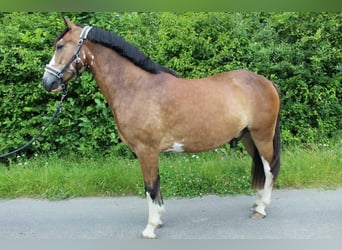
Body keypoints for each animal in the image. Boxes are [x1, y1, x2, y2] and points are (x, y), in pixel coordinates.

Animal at [41, 16, 280, 239]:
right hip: (248, 137)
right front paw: (160, 218)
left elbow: (150, 187)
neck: (135, 87)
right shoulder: (150, 152)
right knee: (260, 166)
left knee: (269, 167)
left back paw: (261, 208)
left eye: (60, 46)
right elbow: (156, 185)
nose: (47, 82)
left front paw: (151, 227)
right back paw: (256, 203)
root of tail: (267, 82)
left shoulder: (146, 151)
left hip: (262, 135)